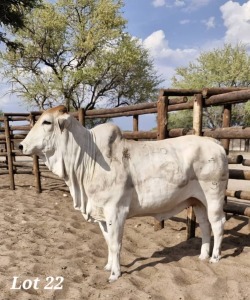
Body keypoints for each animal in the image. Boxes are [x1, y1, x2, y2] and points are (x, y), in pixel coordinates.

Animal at [19, 105, 229, 282]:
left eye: (47, 122)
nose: (21, 146)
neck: (88, 158)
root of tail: (214, 143)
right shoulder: (101, 214)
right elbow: (108, 242)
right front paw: (108, 266)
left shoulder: (116, 211)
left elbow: (115, 244)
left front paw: (115, 274)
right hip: (197, 201)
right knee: (205, 225)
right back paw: (203, 255)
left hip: (214, 198)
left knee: (218, 224)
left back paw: (215, 257)